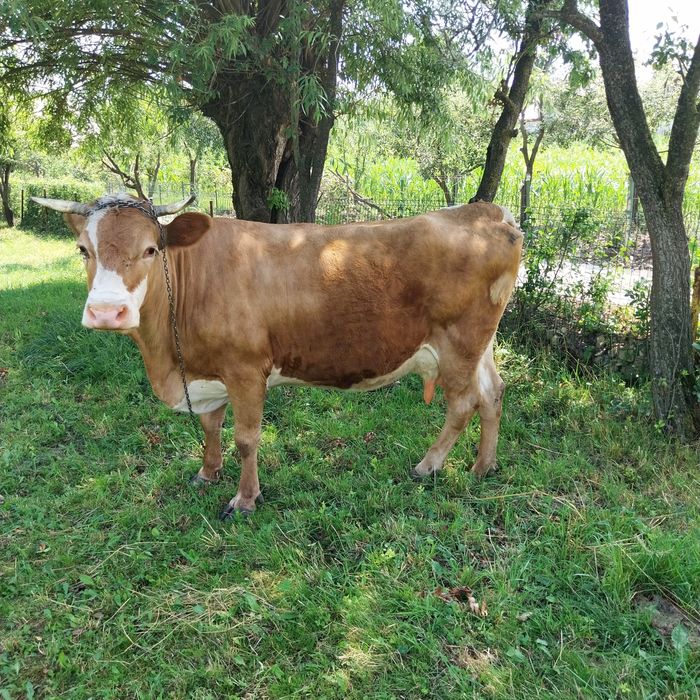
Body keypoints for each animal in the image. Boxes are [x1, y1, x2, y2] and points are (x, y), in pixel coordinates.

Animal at [32, 194, 523, 518]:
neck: (170, 360)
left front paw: (245, 499)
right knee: (493, 393)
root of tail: (484, 211)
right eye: (84, 250)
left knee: (463, 403)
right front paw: (207, 473)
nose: (105, 312)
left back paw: (429, 465)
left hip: (458, 343)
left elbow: (246, 438)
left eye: (151, 249)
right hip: (480, 346)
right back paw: (484, 466)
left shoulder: (246, 369)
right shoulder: (209, 375)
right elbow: (211, 425)